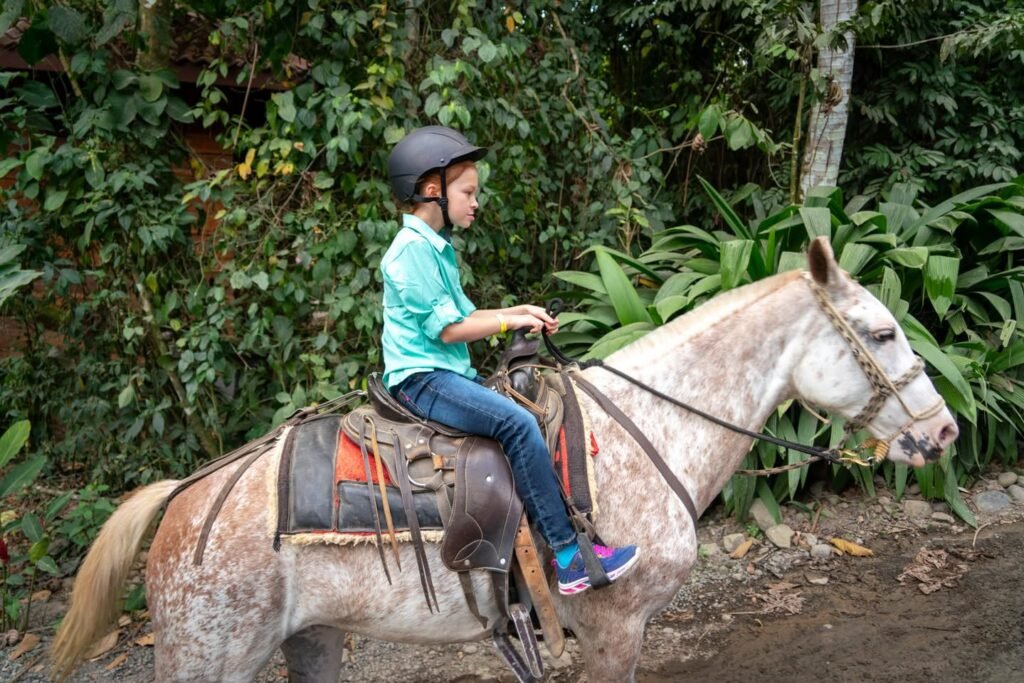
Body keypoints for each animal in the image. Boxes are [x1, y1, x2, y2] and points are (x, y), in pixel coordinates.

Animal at [51, 237, 958, 682]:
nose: (946, 431)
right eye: (882, 332)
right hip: (209, 654)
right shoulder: (614, 630)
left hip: (310, 640)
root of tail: (185, 496)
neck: (651, 428)